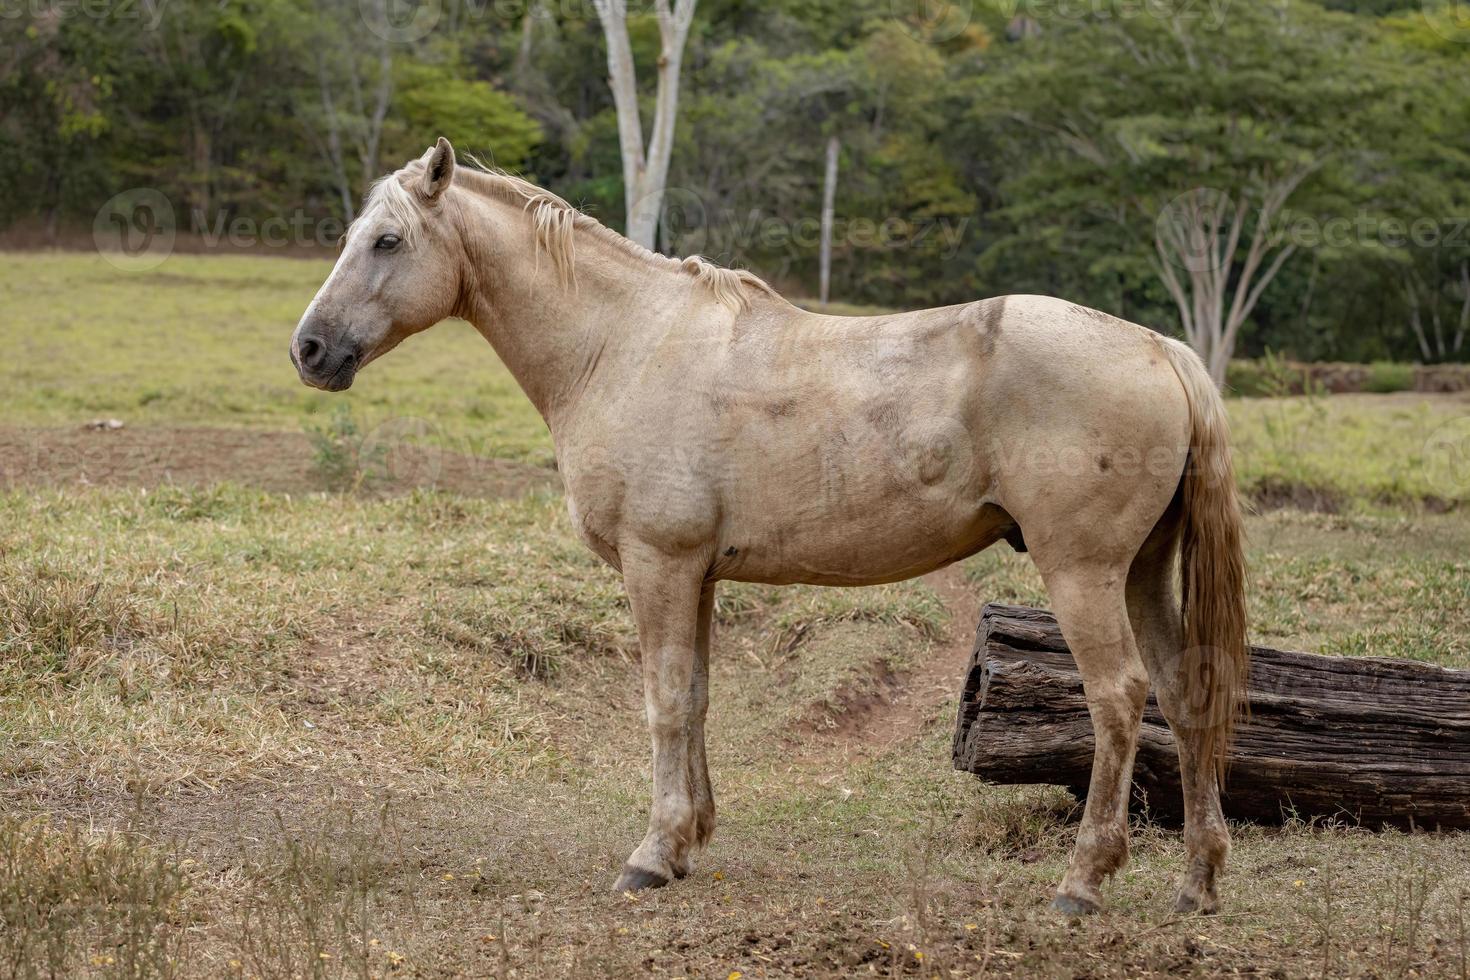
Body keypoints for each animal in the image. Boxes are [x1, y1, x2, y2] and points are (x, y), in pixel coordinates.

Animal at [283, 139, 1240, 922]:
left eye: (387, 242)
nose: (310, 350)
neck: (623, 344)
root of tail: (1159, 348)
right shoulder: (697, 576)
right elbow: (699, 698)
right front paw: (688, 844)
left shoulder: (658, 567)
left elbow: (666, 703)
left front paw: (651, 855)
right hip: (1142, 574)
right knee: (1185, 691)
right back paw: (1196, 883)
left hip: (1082, 574)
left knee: (1118, 696)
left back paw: (1084, 880)